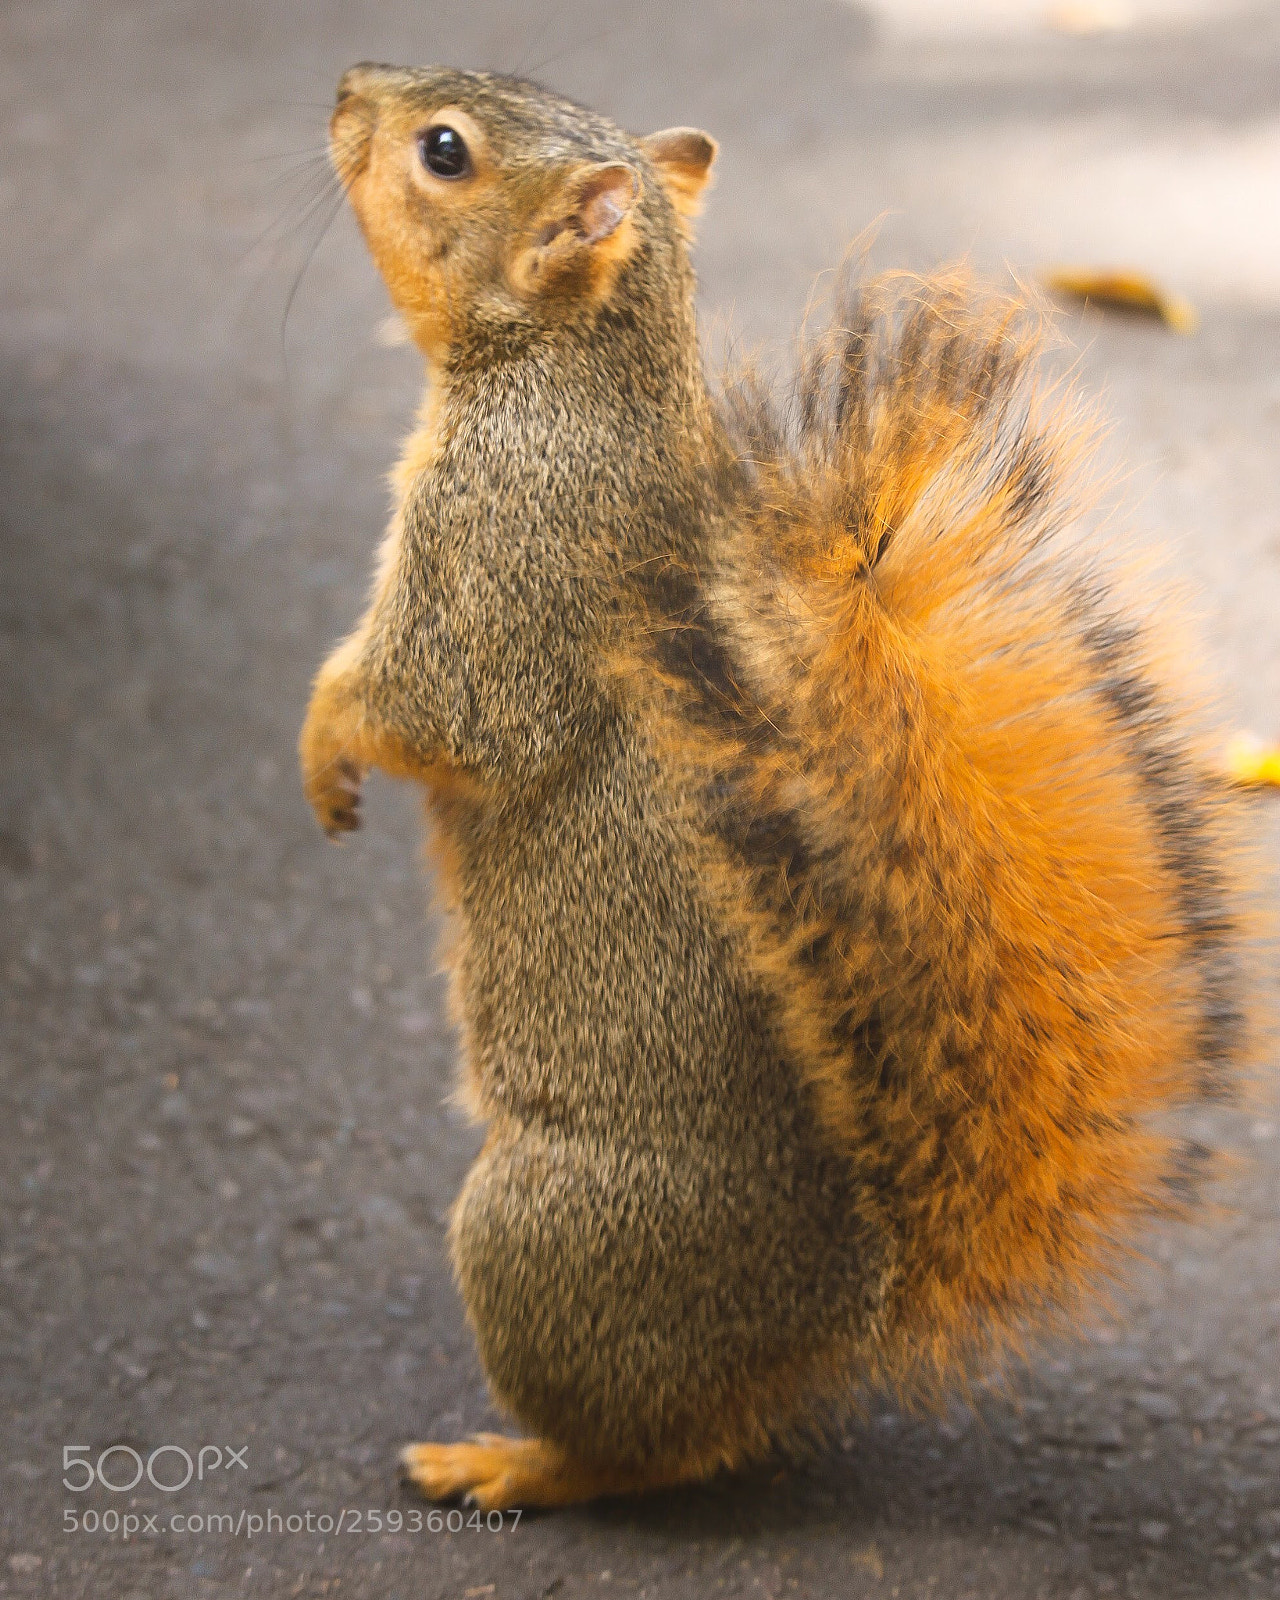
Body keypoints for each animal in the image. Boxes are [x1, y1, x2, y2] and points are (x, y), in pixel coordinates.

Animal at [299, 63, 1255, 1510]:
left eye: (444, 152)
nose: (348, 87)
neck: (573, 375)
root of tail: (834, 1331)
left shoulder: (504, 551)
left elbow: (445, 711)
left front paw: (323, 739)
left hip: (547, 1233)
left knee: (641, 1453)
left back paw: (512, 1463)